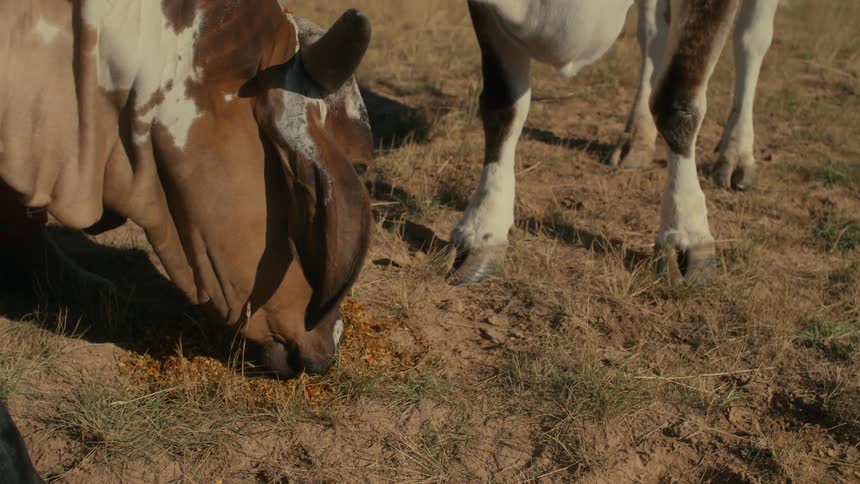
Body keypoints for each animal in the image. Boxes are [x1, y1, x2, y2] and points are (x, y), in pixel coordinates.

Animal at [450, 0, 776, 285]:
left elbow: (677, 102)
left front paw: (686, 233)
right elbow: (502, 103)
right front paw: (483, 227)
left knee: (751, 39)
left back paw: (736, 153)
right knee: (653, 34)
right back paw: (638, 138)